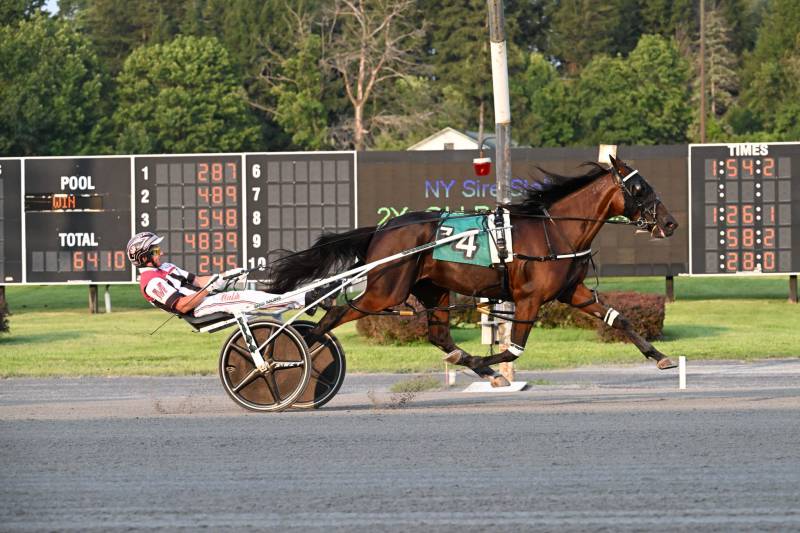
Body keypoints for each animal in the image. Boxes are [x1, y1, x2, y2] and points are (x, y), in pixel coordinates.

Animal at [270, 155, 680, 386]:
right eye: (640, 188)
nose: (670, 223)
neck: (554, 231)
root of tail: (382, 229)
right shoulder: (529, 298)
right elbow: (513, 349)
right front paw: (487, 363)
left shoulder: (570, 292)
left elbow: (619, 318)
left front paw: (661, 357)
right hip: (385, 290)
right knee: (334, 315)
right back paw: (287, 358)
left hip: (433, 289)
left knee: (439, 336)